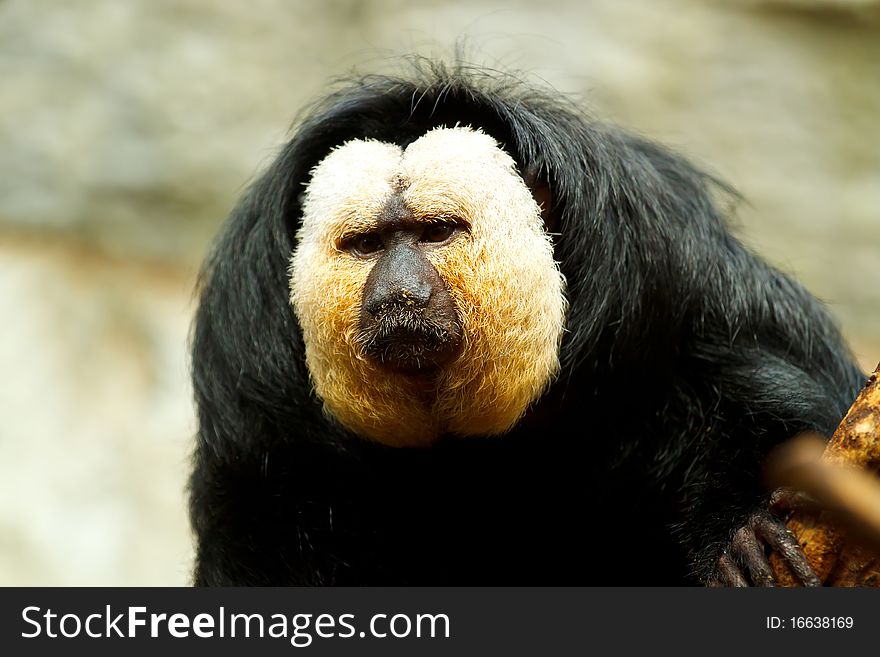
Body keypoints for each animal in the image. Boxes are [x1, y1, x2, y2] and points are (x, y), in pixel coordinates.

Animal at [189, 60, 864, 584]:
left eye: (435, 233)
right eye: (367, 244)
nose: (398, 295)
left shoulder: (664, 263)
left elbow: (760, 387)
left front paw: (744, 529)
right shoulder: (249, 354)